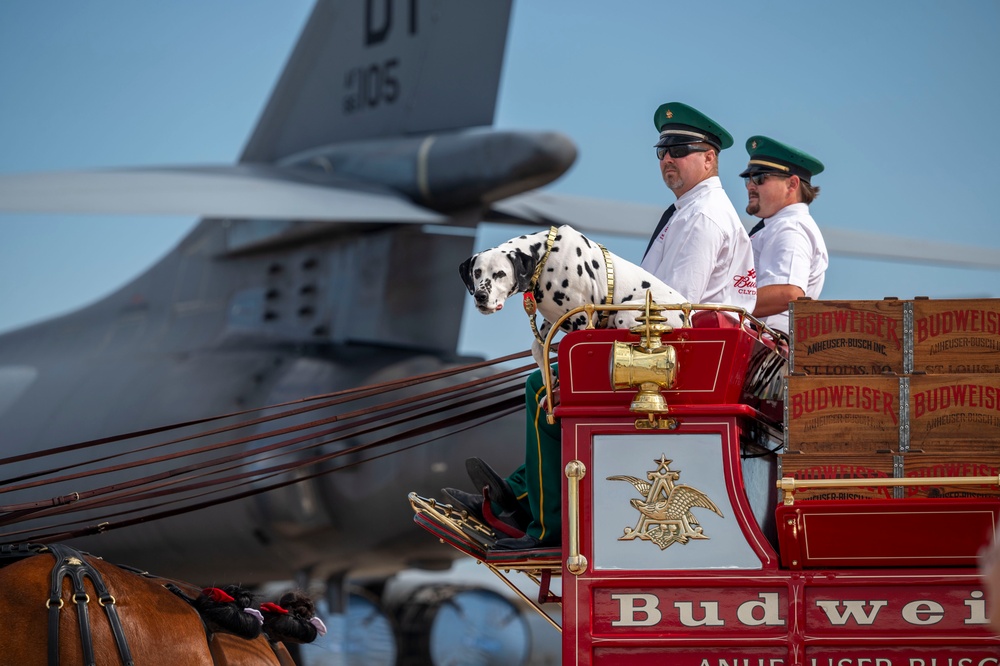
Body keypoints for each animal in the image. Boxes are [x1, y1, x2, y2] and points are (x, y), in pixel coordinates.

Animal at [458, 224, 688, 368]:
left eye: (500, 274)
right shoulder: (553, 319)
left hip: (629, 313)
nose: (480, 296)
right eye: (477, 273)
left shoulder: (581, 320)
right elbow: (538, 349)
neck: (547, 255)